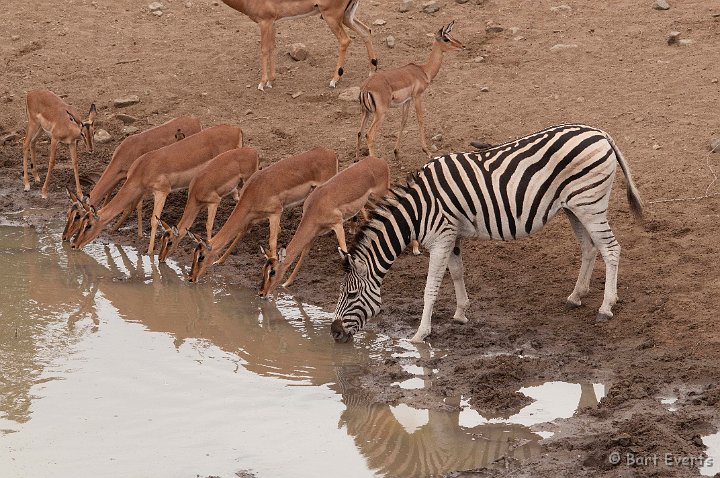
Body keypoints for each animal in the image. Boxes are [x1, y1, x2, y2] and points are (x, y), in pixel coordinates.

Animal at [330, 123, 644, 344]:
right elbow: (457, 273)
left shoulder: (441, 238)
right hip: (574, 207)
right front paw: (460, 313)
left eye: (352, 294)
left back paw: (606, 307)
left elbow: (430, 288)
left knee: (611, 249)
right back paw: (576, 295)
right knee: (590, 248)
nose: (333, 332)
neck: (418, 210)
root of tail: (600, 133)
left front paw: (421, 334)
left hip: (590, 204)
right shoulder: (452, 236)